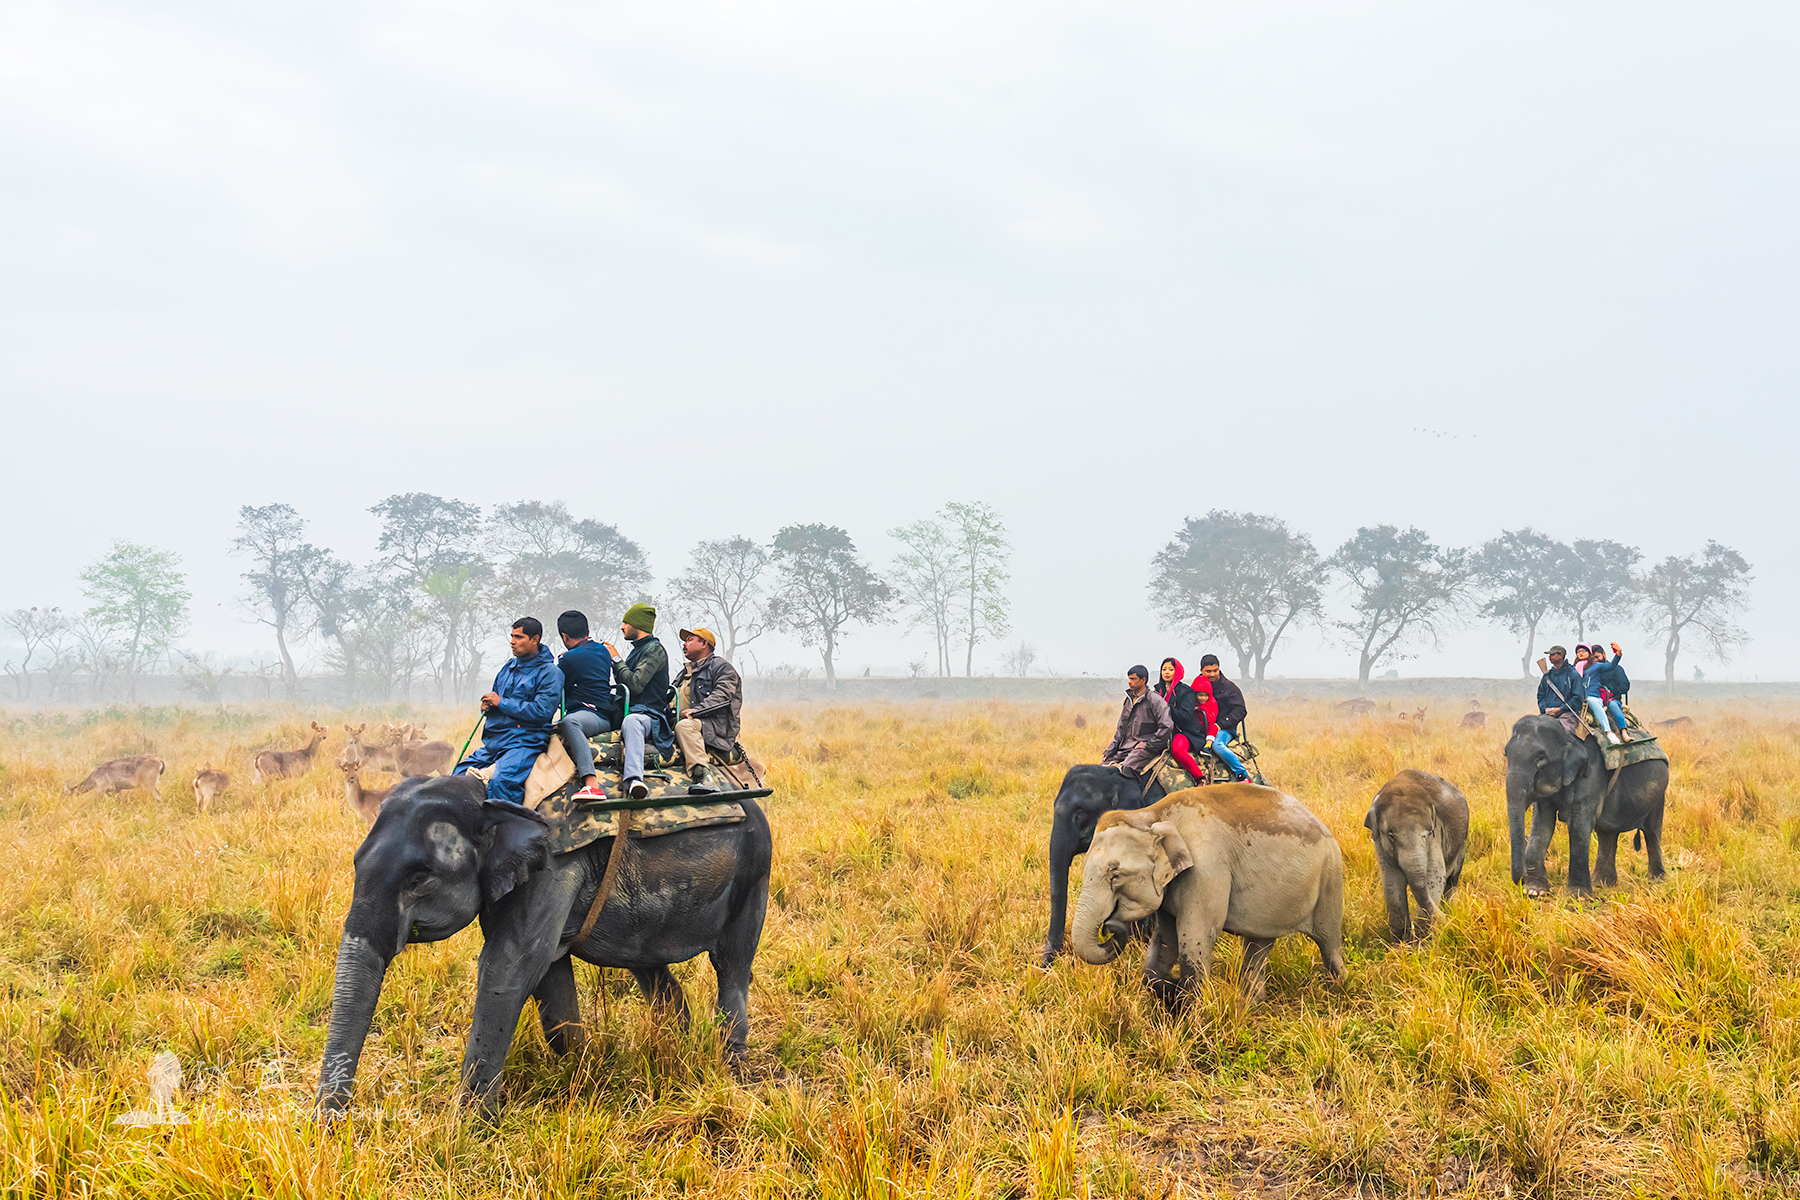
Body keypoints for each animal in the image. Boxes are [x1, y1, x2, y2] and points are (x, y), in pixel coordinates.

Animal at [316, 773, 766, 1122]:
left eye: (420, 878)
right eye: (356, 862)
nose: (331, 1128)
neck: (489, 794)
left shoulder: (554, 865)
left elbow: (510, 966)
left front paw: (469, 1130)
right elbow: (548, 970)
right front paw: (581, 1072)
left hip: (754, 870)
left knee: (732, 965)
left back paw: (733, 1071)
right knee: (650, 966)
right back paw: (680, 1046)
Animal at [1065, 780, 1339, 1007]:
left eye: (1115, 875)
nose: (1110, 925)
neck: (1153, 816)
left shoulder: (1206, 868)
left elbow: (1195, 934)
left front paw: (1191, 1012)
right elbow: (1166, 938)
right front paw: (1169, 988)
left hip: (1330, 879)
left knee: (1329, 944)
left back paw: (1335, 993)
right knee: (1259, 944)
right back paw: (1250, 1006)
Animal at [1497, 712, 1663, 899]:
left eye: (1541, 759)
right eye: (1506, 754)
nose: (1521, 881)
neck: (1566, 733)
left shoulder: (1591, 772)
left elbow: (1579, 825)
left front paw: (1577, 897)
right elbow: (1541, 824)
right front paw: (1535, 892)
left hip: (1659, 791)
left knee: (1652, 831)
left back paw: (1656, 882)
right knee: (1607, 833)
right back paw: (1603, 884)